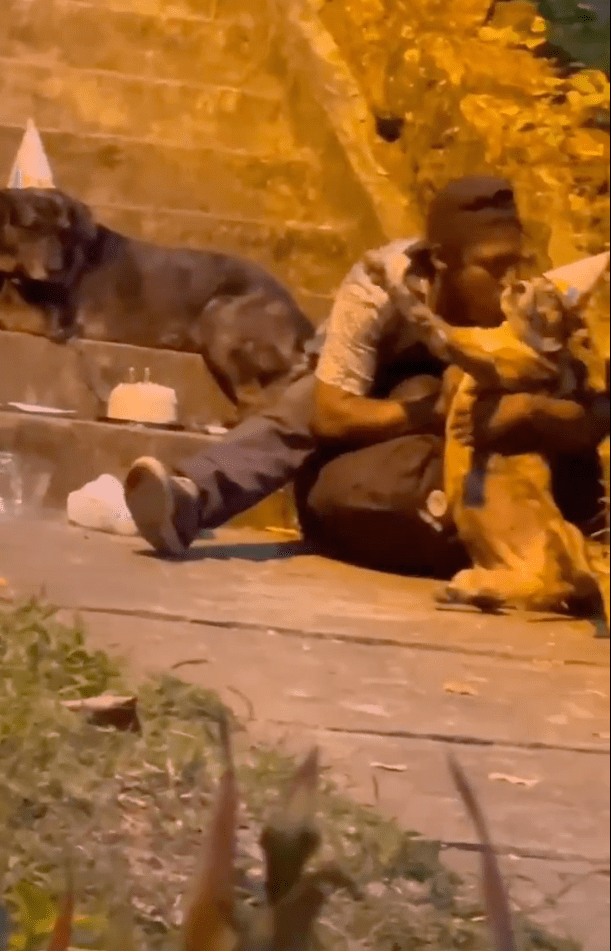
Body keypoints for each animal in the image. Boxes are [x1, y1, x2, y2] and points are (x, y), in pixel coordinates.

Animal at [0, 190, 316, 416]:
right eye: (30, 228)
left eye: (63, 232)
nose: (55, 269)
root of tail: (302, 321)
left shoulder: (53, 320)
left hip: (218, 315)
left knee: (259, 393)